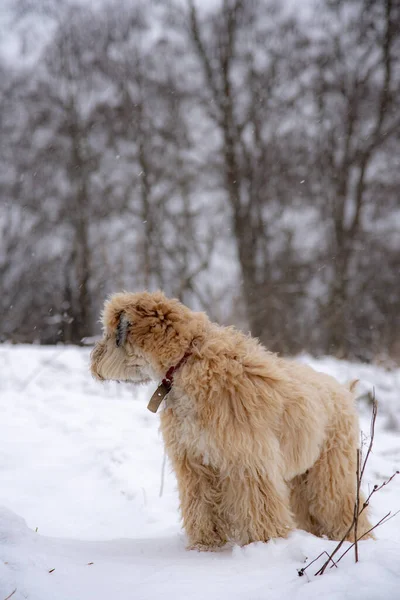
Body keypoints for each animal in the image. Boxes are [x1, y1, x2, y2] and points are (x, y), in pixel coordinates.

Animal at [90, 290, 372, 548]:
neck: (187, 362)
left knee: (341, 505)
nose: (92, 361)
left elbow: (258, 507)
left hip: (331, 471)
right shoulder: (194, 462)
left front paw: (266, 543)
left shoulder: (247, 461)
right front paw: (206, 545)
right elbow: (200, 505)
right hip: (301, 477)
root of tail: (344, 390)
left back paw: (355, 539)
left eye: (109, 334)